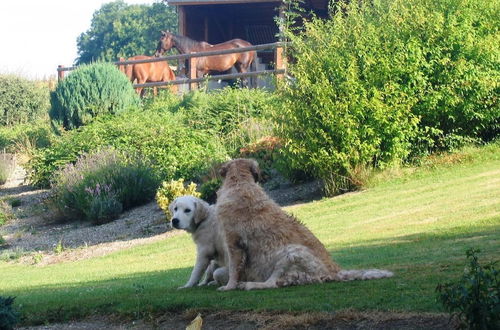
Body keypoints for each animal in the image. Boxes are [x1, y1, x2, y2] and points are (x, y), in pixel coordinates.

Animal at [217, 159, 392, 290]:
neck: (239, 182)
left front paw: (229, 286)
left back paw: (250, 285)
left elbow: (233, 269)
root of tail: (335, 272)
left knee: (272, 283)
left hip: (291, 253)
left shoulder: (233, 242)